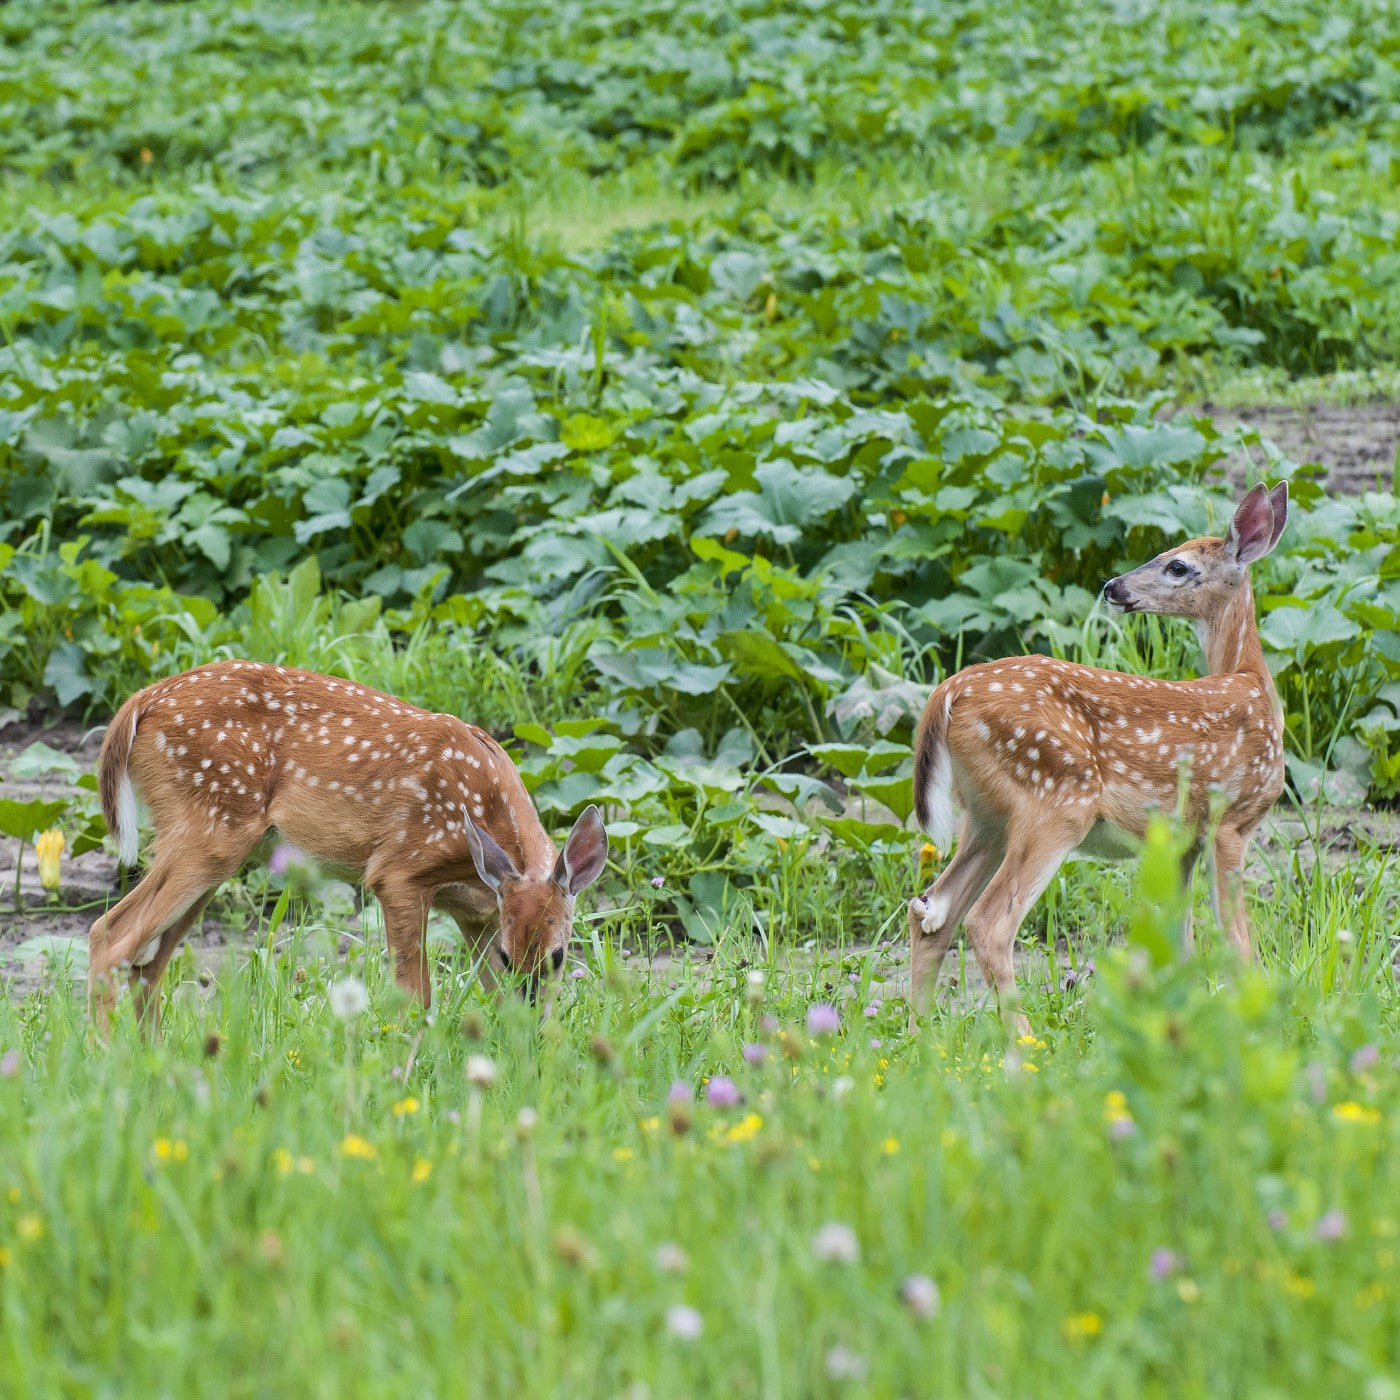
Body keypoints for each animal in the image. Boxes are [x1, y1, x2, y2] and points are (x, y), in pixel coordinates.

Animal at [88, 660, 608, 1031]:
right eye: (510, 955)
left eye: (558, 956)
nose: (537, 1019)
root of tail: (141, 702)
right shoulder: (398, 871)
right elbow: (414, 996)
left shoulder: (477, 914)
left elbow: (495, 997)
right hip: (209, 831)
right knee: (109, 936)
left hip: (211, 854)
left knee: (147, 967)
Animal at [907, 482, 1290, 1034]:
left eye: (1178, 565)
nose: (1113, 586)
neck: (1253, 684)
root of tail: (947, 693)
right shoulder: (1232, 821)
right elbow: (1235, 938)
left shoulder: (1183, 841)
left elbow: (1180, 941)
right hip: (1055, 798)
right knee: (986, 922)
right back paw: (1023, 1043)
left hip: (986, 816)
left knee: (932, 913)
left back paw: (917, 1036)